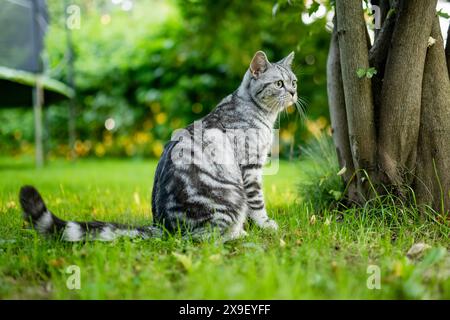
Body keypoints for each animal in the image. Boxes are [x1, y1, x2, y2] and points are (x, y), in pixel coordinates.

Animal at [18, 50, 298, 241]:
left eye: (293, 81)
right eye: (279, 84)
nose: (294, 93)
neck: (258, 113)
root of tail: (164, 227)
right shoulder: (250, 169)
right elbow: (257, 202)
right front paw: (265, 225)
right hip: (227, 199)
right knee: (207, 237)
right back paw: (238, 234)